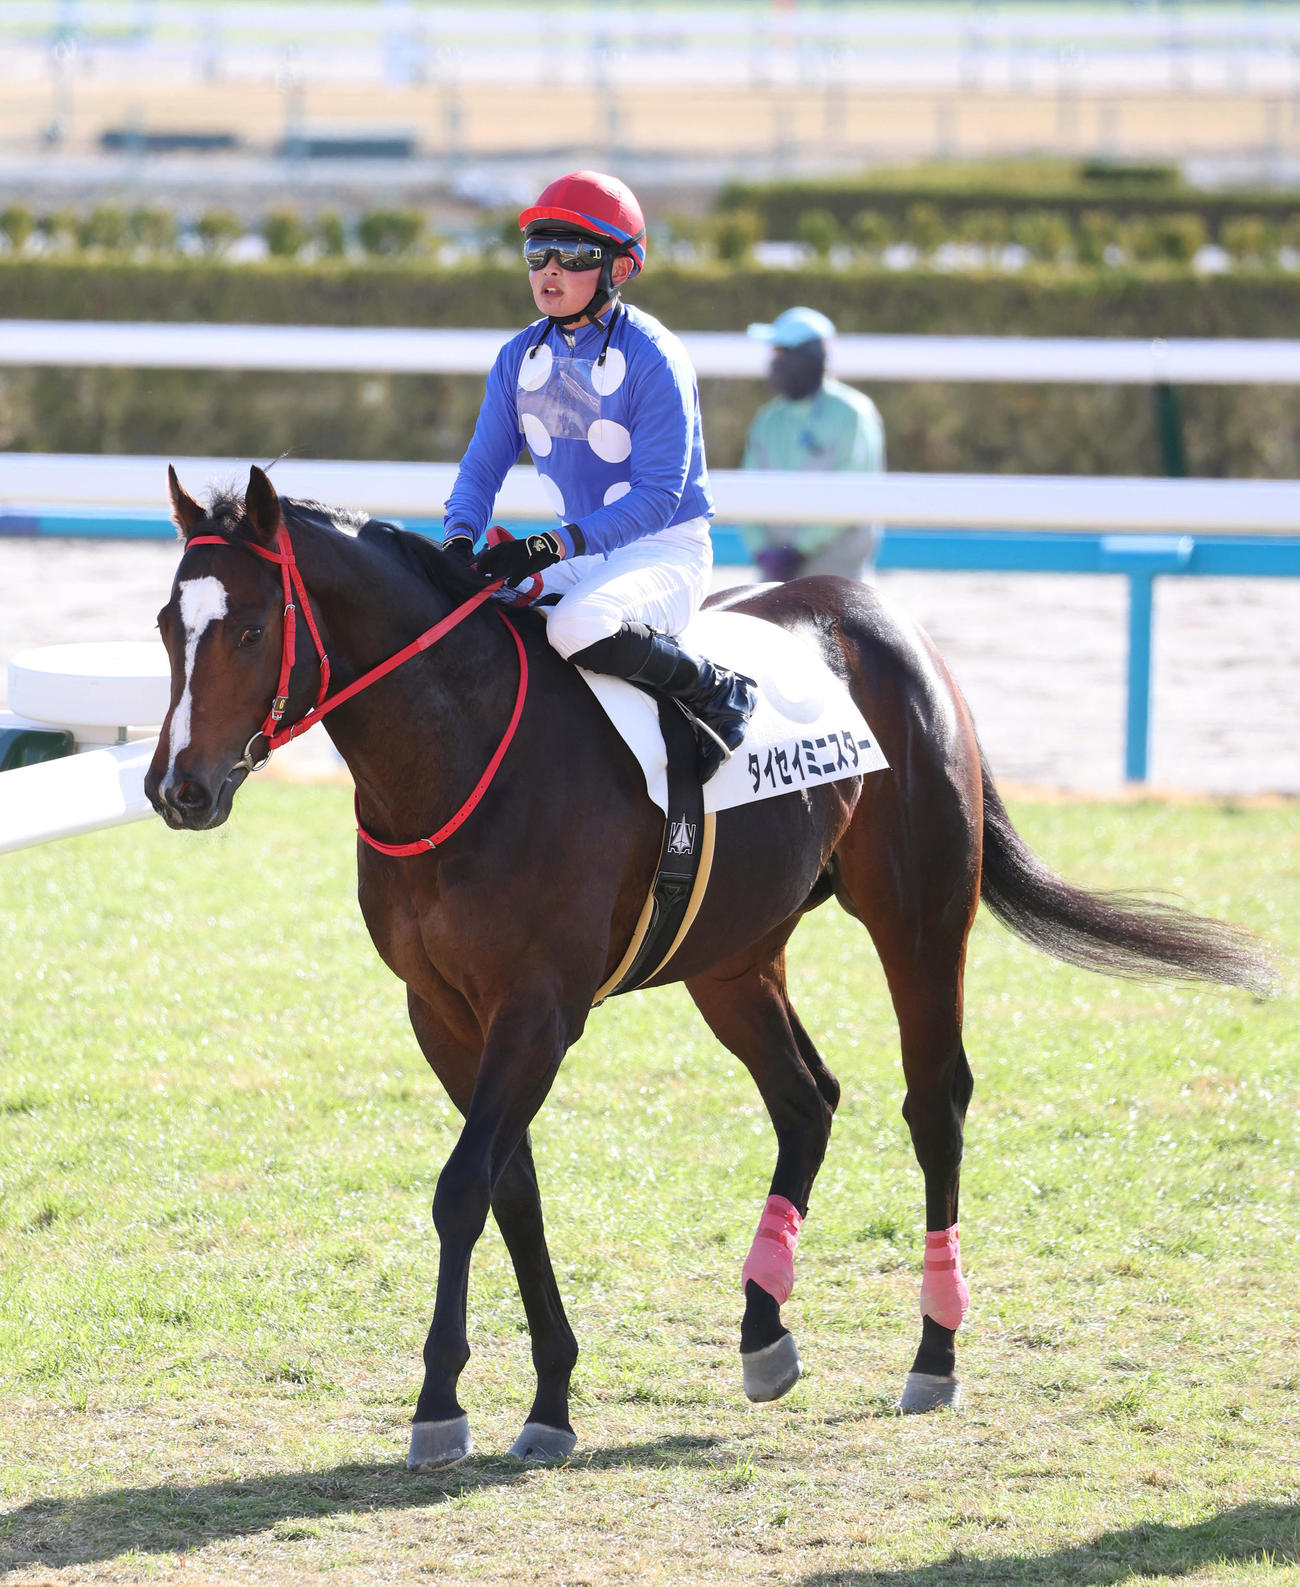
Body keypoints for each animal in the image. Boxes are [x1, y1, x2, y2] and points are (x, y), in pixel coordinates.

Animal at [145, 464, 1271, 1469]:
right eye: (166, 625)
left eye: (250, 630)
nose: (179, 788)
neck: (462, 749)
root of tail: (883, 619)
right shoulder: (444, 1013)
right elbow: (514, 1191)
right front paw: (550, 1398)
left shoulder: (538, 1010)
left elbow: (465, 1188)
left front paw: (440, 1403)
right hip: (732, 957)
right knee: (807, 1097)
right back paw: (764, 1331)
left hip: (918, 914)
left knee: (934, 1103)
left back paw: (933, 1352)